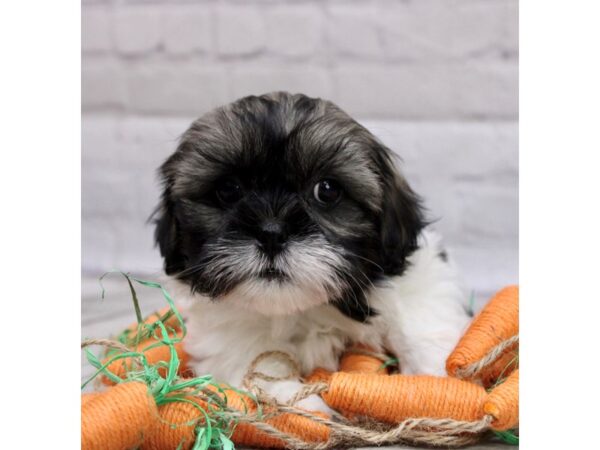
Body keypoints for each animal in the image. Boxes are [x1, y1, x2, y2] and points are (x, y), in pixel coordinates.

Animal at [156, 91, 474, 412]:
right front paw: (311, 407)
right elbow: (264, 374)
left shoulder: (420, 277)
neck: (305, 309)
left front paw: (434, 382)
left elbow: (421, 322)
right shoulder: (226, 340)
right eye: (228, 190)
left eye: (327, 190)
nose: (271, 233)